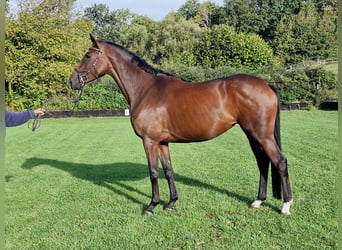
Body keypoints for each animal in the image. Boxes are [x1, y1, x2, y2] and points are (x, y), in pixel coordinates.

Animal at [70, 34, 294, 216]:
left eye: (88, 56)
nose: (72, 81)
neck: (146, 89)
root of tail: (266, 84)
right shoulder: (162, 142)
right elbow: (168, 171)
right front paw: (171, 203)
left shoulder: (149, 141)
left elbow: (153, 173)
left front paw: (151, 206)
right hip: (251, 134)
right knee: (263, 162)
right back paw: (258, 201)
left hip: (261, 135)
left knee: (280, 161)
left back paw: (285, 206)